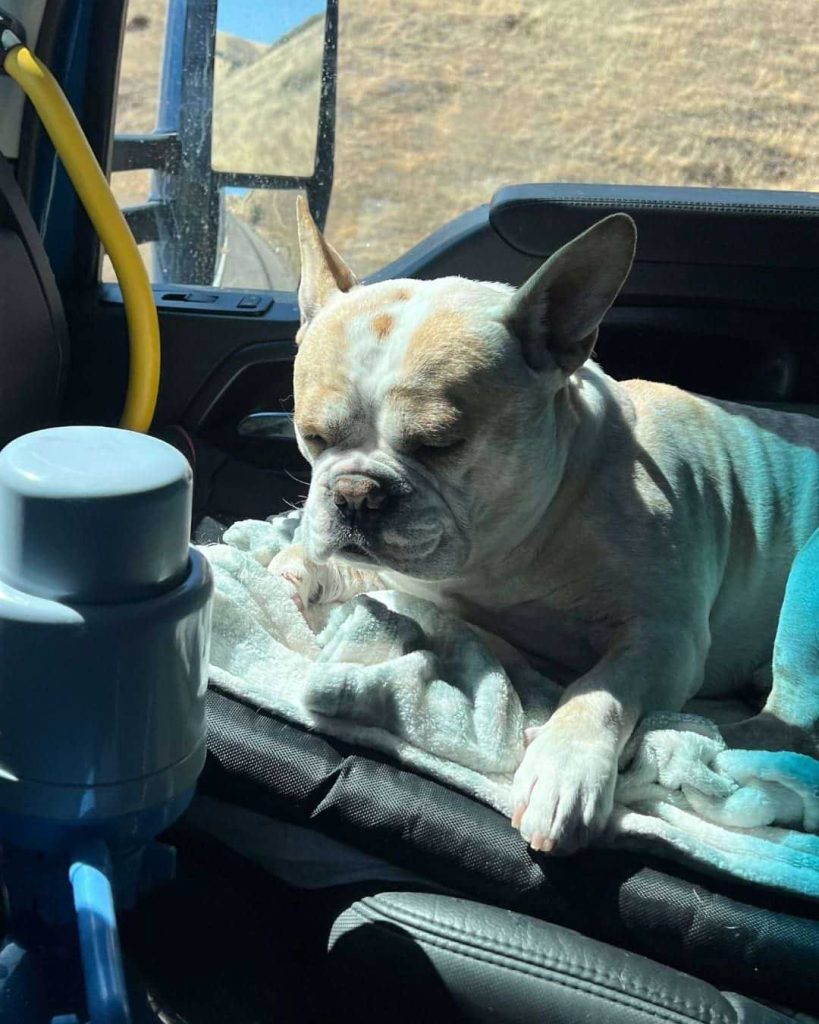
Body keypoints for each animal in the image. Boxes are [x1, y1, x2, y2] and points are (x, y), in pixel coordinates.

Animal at [271, 195, 819, 854]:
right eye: (313, 436)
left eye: (440, 445)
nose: (355, 494)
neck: (505, 549)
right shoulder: (409, 574)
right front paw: (297, 568)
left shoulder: (664, 637)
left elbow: (602, 691)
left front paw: (565, 767)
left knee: (788, 722)